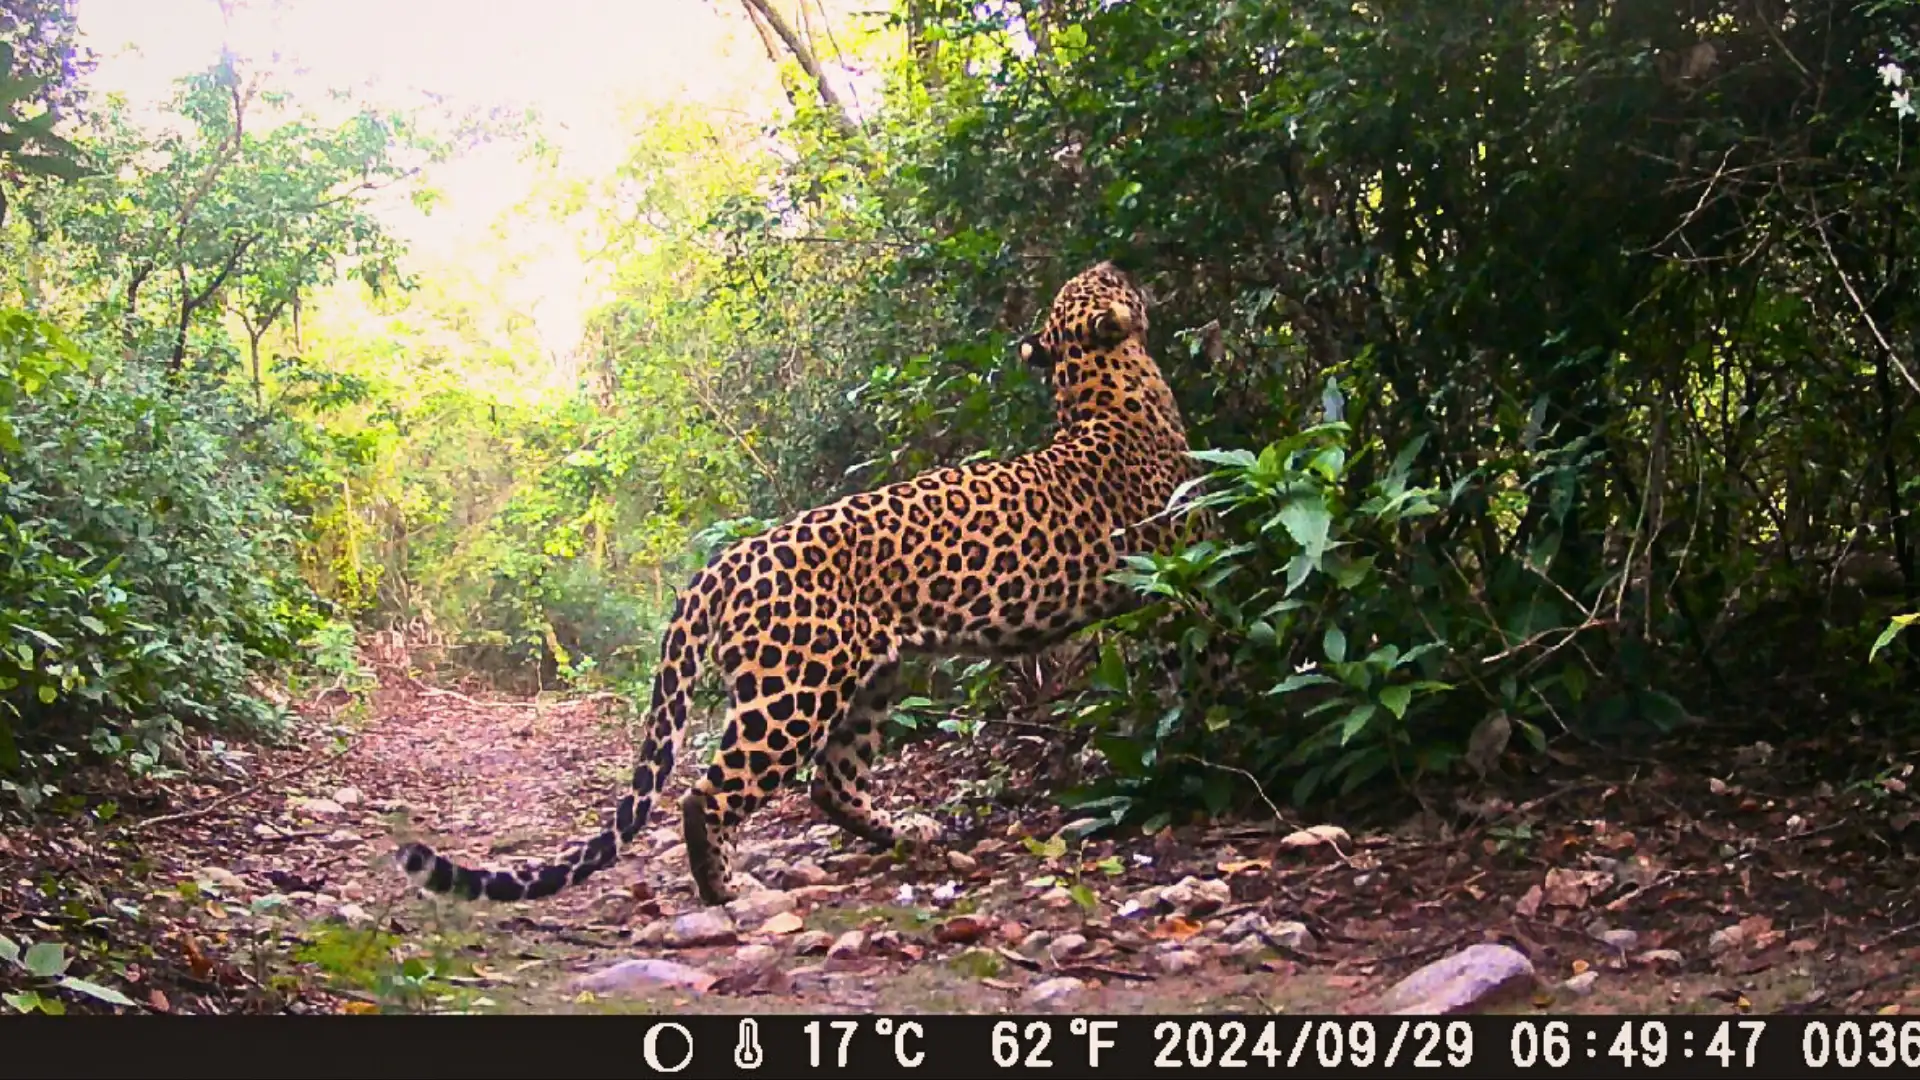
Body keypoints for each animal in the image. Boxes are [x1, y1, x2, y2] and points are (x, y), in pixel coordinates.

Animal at [395, 260, 1224, 908]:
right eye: (1103, 282)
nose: (1113, 258)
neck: (1103, 390)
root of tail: (729, 559)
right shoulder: (1184, 573)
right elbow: (1205, 663)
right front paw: (1206, 749)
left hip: (870, 678)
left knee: (831, 782)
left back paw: (908, 832)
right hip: (792, 690)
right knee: (709, 792)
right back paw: (728, 890)